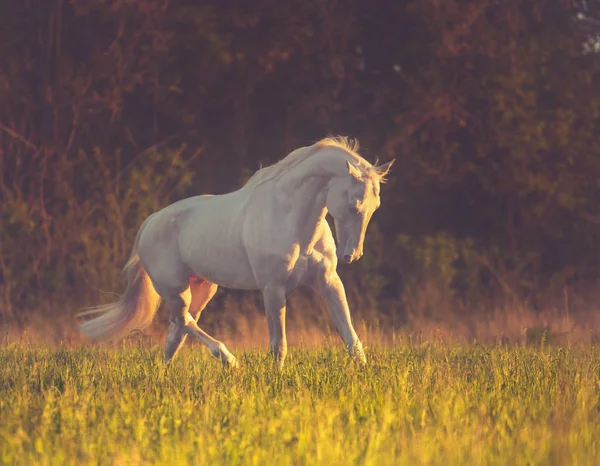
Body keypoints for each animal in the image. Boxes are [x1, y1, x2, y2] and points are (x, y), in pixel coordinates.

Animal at [78, 135, 394, 368]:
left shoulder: (328, 282)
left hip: (202, 287)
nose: (351, 255)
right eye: (354, 205)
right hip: (176, 289)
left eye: (376, 206)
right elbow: (278, 344)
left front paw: (364, 374)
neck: (293, 221)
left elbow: (350, 336)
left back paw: (166, 374)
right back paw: (228, 360)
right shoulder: (273, 289)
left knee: (177, 331)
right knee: (184, 322)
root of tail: (151, 222)